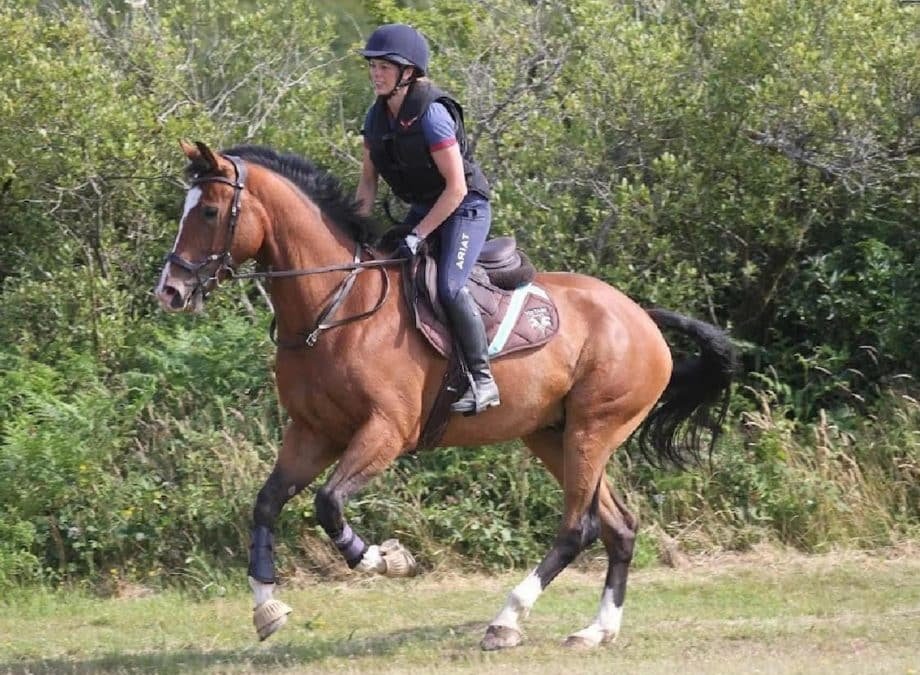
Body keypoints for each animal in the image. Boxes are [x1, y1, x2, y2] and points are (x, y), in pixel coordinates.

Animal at [154, 140, 735, 650]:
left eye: (209, 211)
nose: (171, 291)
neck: (335, 306)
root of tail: (641, 316)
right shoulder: (314, 432)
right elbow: (267, 504)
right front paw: (266, 607)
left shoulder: (385, 431)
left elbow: (328, 503)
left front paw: (388, 559)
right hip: (554, 434)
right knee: (619, 526)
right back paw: (596, 631)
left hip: (595, 429)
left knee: (579, 527)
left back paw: (506, 621)